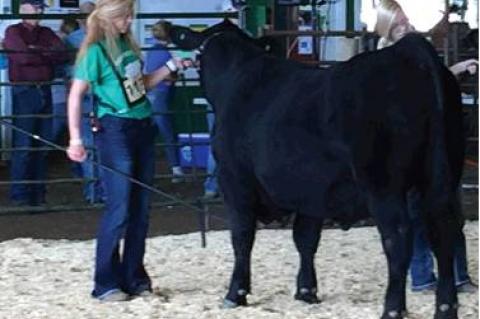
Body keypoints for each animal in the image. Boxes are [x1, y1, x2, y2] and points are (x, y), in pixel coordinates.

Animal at [169, 20, 464, 319]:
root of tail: (411, 51)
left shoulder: (234, 179)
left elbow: (242, 237)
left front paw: (235, 293)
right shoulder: (311, 190)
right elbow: (306, 238)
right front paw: (306, 292)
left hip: (383, 185)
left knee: (399, 239)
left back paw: (392, 308)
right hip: (442, 177)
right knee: (445, 233)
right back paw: (445, 308)